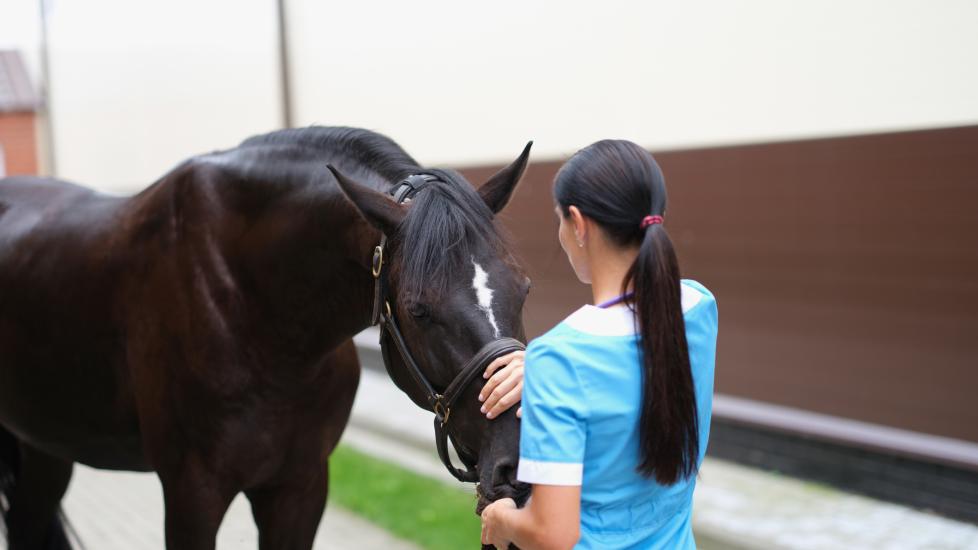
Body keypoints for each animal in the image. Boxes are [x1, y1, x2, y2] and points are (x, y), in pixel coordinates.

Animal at [0, 128, 528, 550]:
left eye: (523, 288)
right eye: (419, 310)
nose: (520, 463)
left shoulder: (299, 487)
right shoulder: (192, 493)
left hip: (44, 448)